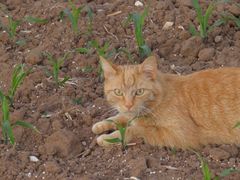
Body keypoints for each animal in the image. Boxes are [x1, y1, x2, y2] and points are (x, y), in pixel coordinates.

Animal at [91, 56, 240, 149]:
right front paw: (101, 125)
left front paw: (108, 138)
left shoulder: (180, 135)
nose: (128, 105)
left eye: (139, 92)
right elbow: (121, 117)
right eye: (118, 92)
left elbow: (136, 129)